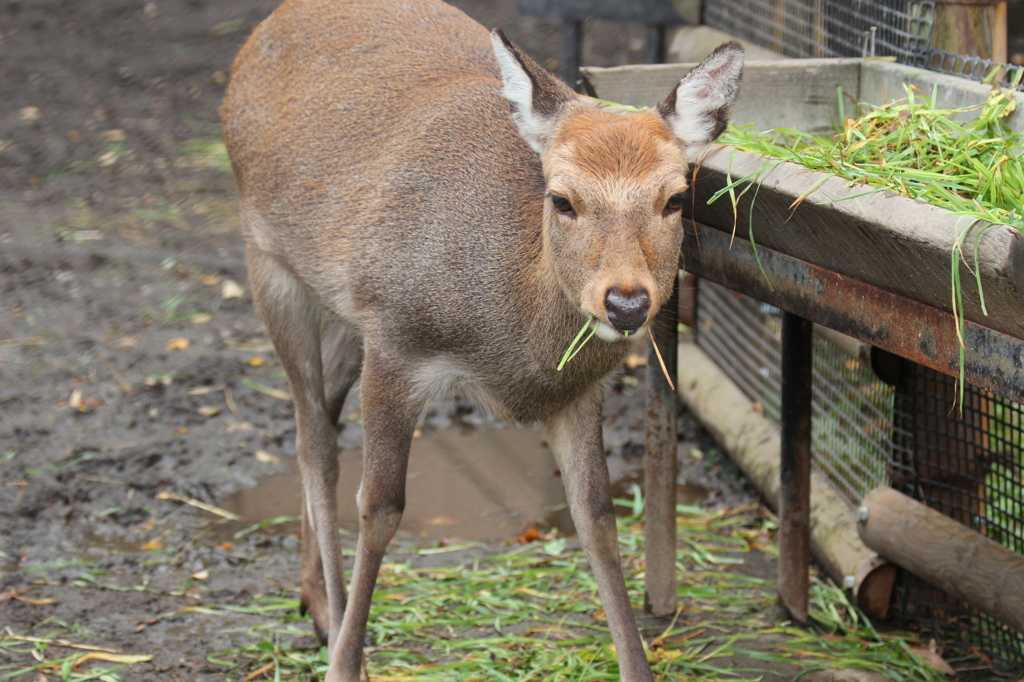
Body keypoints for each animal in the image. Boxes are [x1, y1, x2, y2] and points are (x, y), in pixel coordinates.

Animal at [220, 0, 741, 675]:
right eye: (562, 198)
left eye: (677, 197)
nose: (627, 302)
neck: (511, 346)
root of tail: (264, 30)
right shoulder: (395, 340)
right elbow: (380, 507)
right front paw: (345, 665)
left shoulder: (579, 392)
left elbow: (597, 520)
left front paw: (637, 667)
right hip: (267, 261)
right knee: (314, 442)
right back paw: (330, 615)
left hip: (342, 311)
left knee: (322, 413)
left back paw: (312, 600)